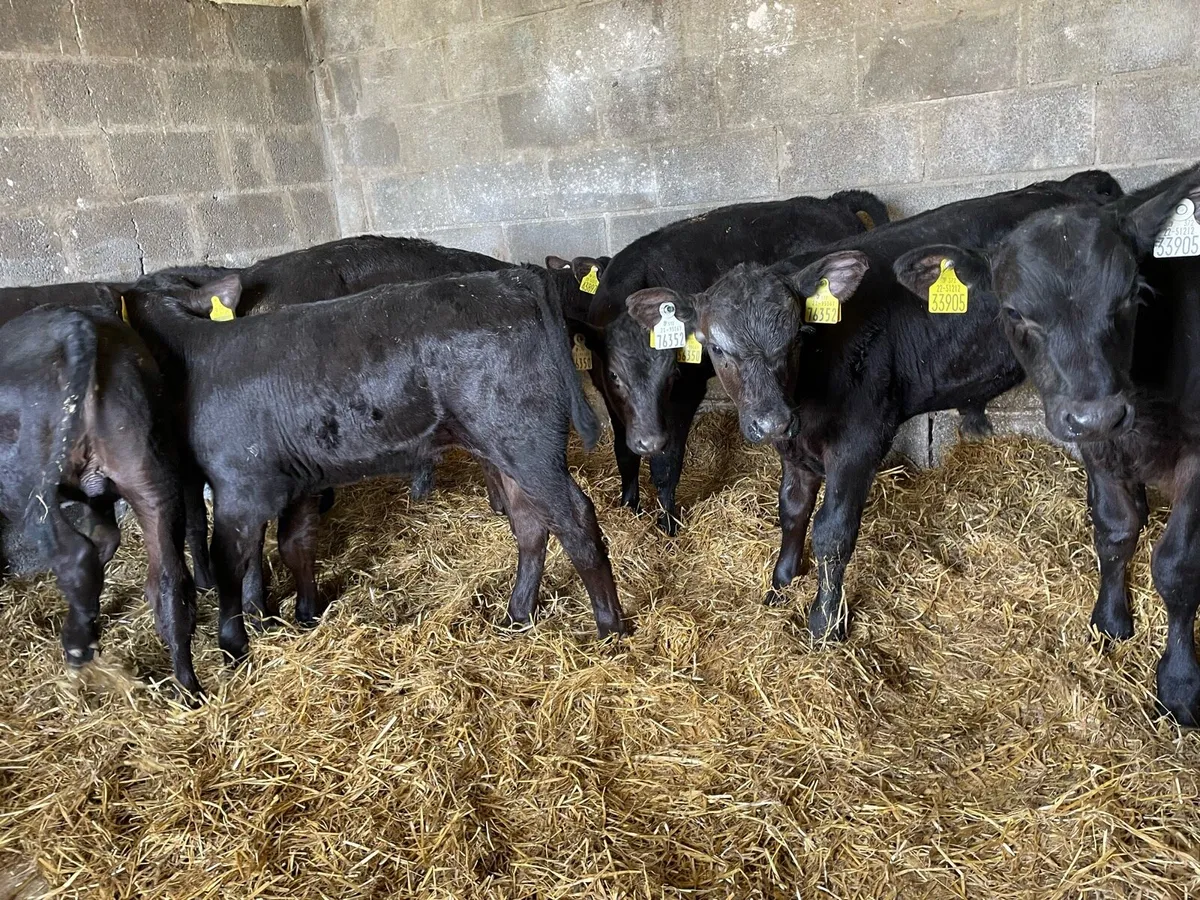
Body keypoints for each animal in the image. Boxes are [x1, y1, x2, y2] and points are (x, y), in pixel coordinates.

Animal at [0, 306, 199, 694]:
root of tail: (77, 325)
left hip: (29, 488)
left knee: (76, 556)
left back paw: (78, 652)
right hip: (150, 474)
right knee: (167, 580)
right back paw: (188, 689)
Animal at [119, 266, 627, 665]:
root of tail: (512, 279)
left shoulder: (239, 487)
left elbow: (231, 565)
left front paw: (233, 643)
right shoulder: (298, 479)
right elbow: (293, 545)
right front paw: (304, 613)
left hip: (526, 441)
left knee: (575, 519)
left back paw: (610, 628)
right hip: (502, 446)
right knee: (530, 523)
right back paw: (517, 614)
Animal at [565, 191, 893, 537]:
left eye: (672, 374)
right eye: (614, 374)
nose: (650, 439)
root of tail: (831, 202)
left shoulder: (684, 396)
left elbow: (666, 465)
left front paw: (667, 525)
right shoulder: (611, 400)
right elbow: (624, 453)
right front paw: (629, 505)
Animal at [620, 171, 1124, 644]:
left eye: (795, 337)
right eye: (717, 348)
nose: (771, 421)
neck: (808, 393)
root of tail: (1075, 185)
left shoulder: (858, 442)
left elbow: (832, 531)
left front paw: (825, 623)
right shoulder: (794, 449)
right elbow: (791, 510)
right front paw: (780, 583)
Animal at [898, 162, 1200, 724]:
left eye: (1133, 292)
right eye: (1015, 312)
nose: (1098, 413)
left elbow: (1177, 566)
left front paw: (1179, 683)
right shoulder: (1096, 446)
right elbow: (1115, 530)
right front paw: (1110, 619)